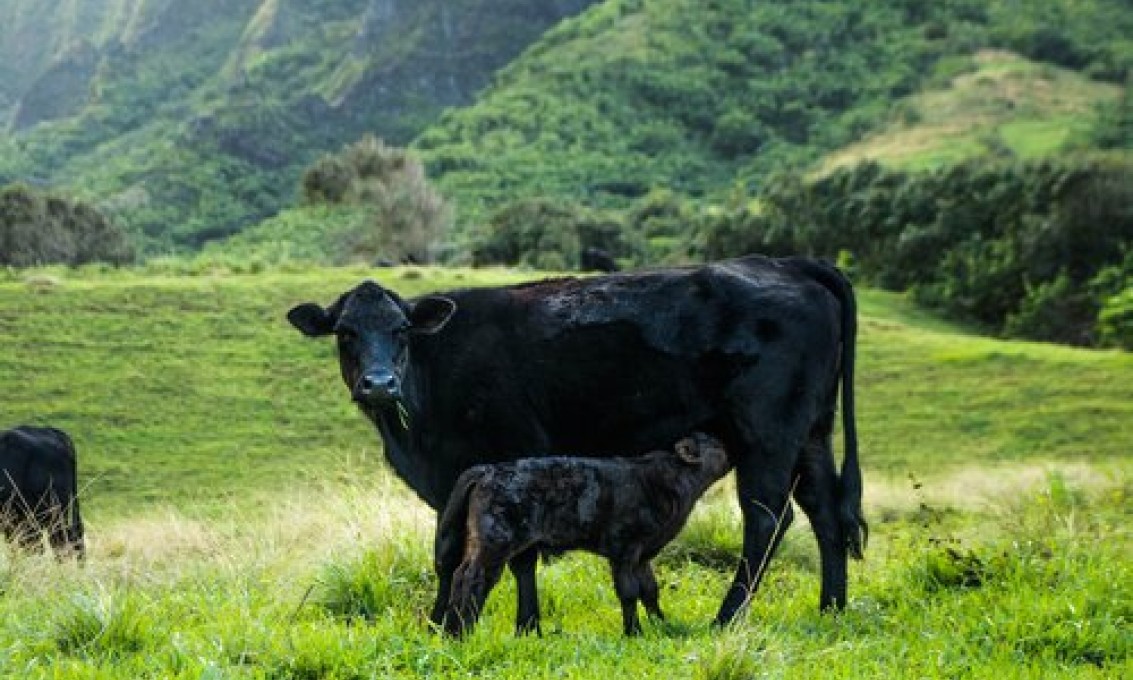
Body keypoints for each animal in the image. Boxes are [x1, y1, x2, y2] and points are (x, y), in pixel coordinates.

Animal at [428, 430, 729, 639]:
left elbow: (650, 590)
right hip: (494, 540)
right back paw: (460, 634)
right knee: (471, 577)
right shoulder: (624, 549)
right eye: (715, 445)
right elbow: (629, 591)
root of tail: (486, 469)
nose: (730, 449)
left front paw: (663, 626)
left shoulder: (643, 554)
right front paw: (634, 633)